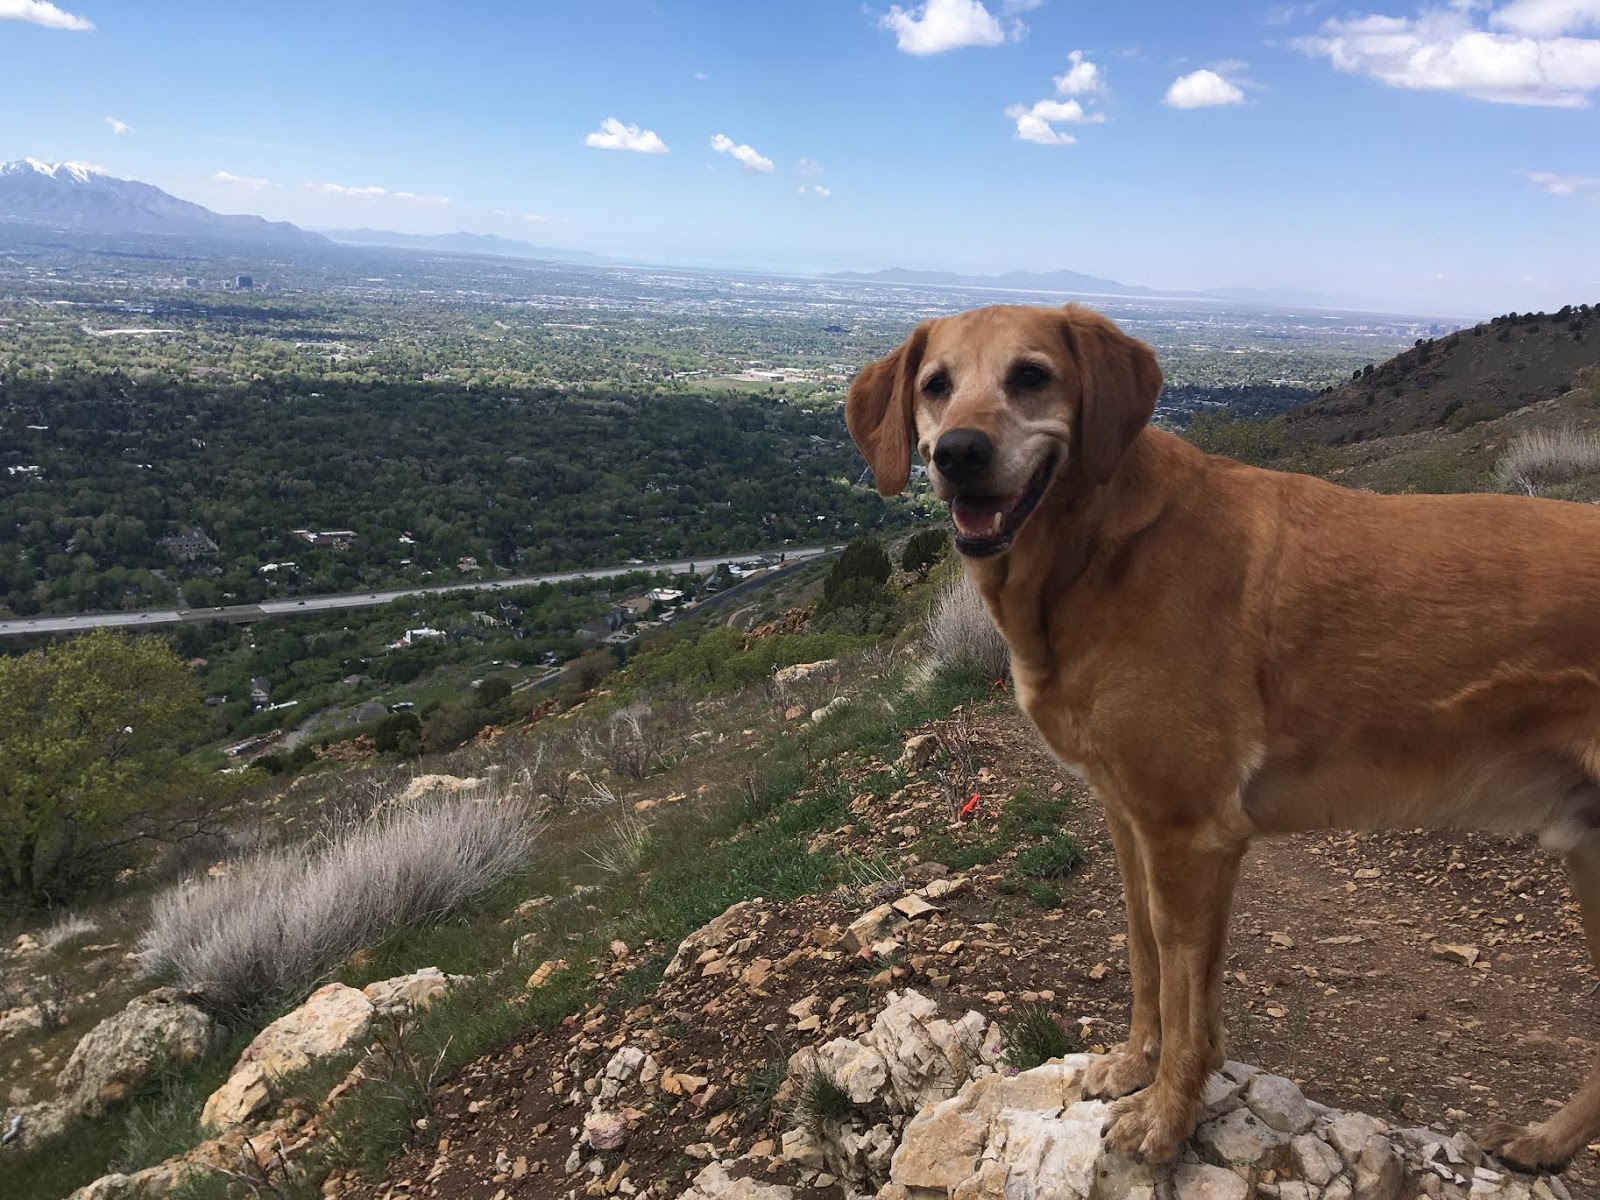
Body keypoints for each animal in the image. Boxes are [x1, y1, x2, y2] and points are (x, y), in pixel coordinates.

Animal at [857, 302, 1600, 1177]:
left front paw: (1165, 1116)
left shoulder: (1192, 834)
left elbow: (1187, 998)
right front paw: (1132, 1065)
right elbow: (1145, 958)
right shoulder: (1131, 820)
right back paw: (1546, 1143)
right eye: (935, 386)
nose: (958, 453)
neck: (1095, 547)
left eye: (1031, 375)